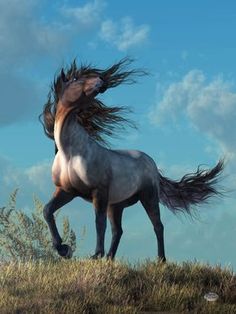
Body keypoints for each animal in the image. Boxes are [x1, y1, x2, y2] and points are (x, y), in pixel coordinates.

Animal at [39, 58, 224, 260]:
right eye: (74, 78)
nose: (102, 80)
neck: (71, 153)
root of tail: (152, 164)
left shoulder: (99, 192)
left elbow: (99, 222)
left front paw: (94, 255)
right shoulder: (67, 191)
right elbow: (47, 211)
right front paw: (63, 249)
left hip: (148, 197)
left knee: (157, 226)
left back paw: (160, 260)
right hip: (116, 205)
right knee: (118, 231)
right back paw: (110, 259)